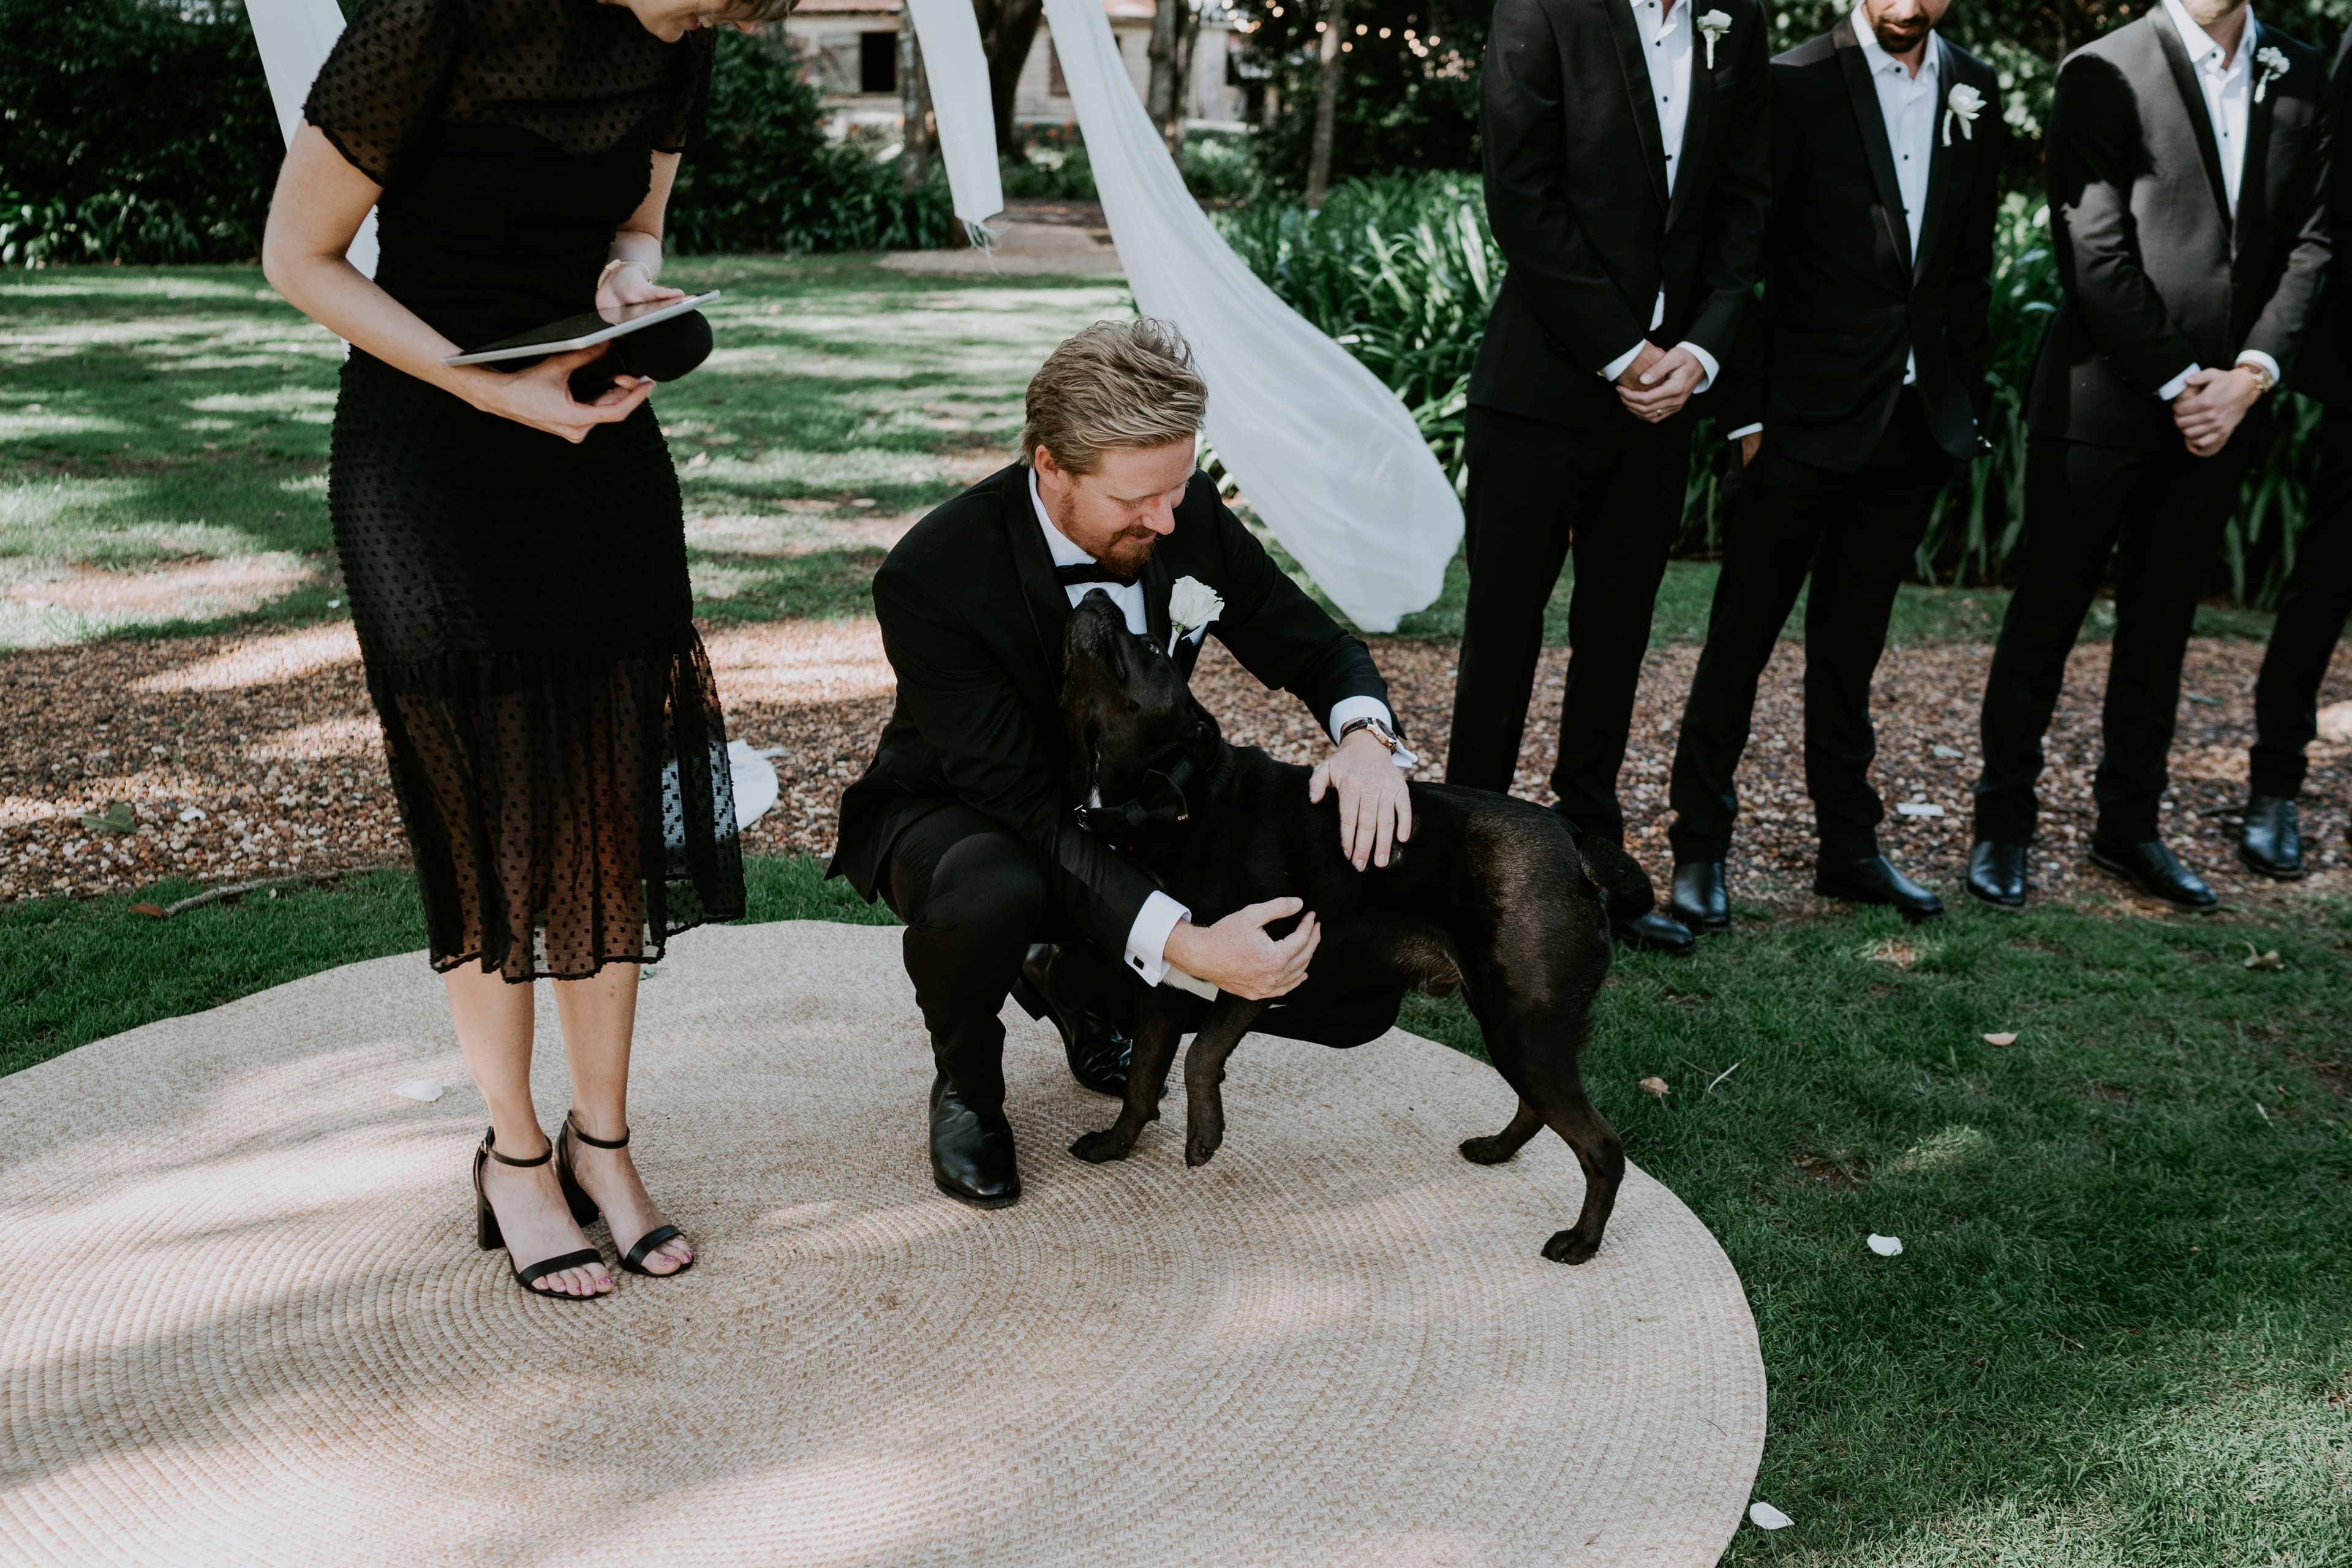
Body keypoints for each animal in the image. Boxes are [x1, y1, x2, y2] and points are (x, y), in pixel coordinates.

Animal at [1063, 595, 1627, 1269]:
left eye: (1149, 646)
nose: (1095, 597)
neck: (1173, 793)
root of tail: (1577, 844)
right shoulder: (1163, 985)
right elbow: (1142, 1082)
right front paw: (1115, 1146)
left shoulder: (1258, 967)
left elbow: (1202, 1054)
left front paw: (1205, 1135)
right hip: (1517, 1029)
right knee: (1538, 1108)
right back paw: (1496, 1150)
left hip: (1525, 1031)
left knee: (1602, 1146)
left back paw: (1582, 1241)